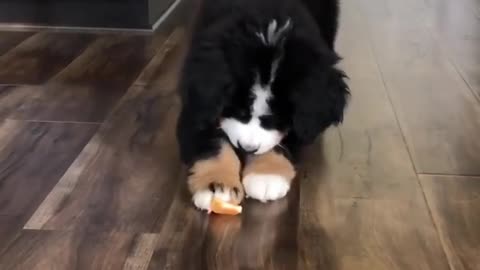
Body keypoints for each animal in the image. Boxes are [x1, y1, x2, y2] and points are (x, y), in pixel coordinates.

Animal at [176, 0, 348, 210]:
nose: (247, 148)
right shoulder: (200, 103)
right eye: (235, 107)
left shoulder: (307, 119)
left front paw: (266, 176)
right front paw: (217, 185)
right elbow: (212, 143)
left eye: (279, 116)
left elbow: (286, 138)